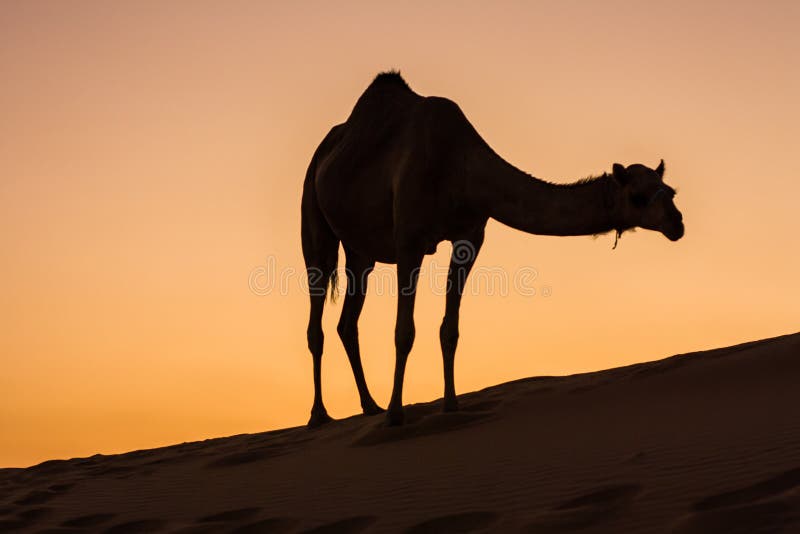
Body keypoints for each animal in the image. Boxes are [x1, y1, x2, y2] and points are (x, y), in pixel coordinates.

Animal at [300, 72, 680, 432]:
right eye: (638, 197)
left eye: (671, 190)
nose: (677, 223)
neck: (461, 169)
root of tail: (322, 152)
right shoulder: (409, 240)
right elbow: (404, 331)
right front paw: (396, 415)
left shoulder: (470, 238)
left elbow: (450, 329)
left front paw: (451, 405)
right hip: (313, 215)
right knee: (317, 313)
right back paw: (320, 415)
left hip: (360, 251)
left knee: (348, 321)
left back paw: (369, 405)